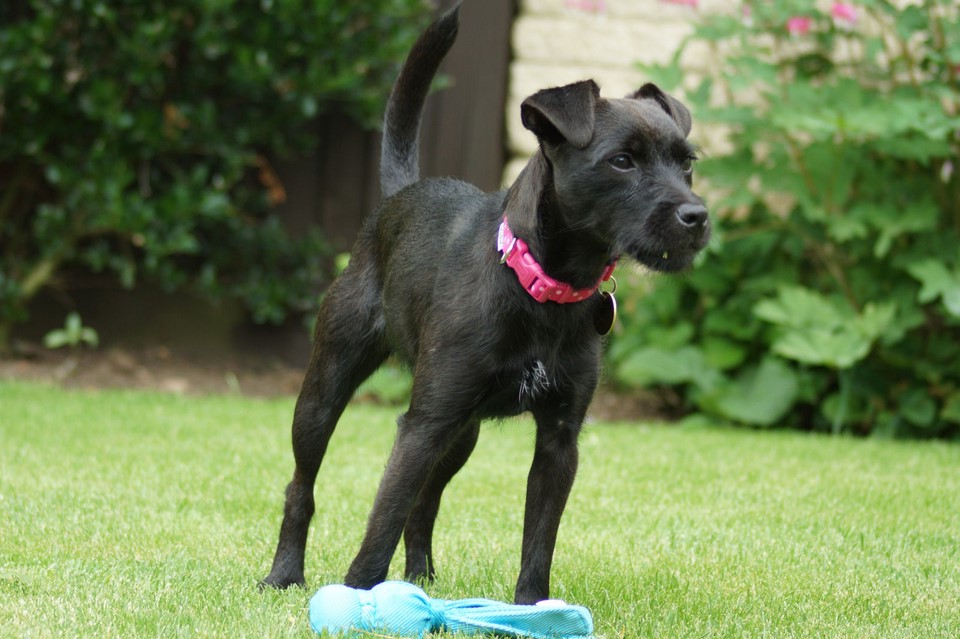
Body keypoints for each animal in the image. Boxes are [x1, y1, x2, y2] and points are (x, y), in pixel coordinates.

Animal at [260, 2, 704, 604]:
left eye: (687, 163)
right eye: (621, 161)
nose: (697, 216)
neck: (540, 287)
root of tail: (398, 198)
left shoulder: (559, 441)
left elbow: (538, 540)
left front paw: (532, 609)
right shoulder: (421, 426)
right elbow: (381, 521)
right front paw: (357, 599)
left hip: (462, 433)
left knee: (425, 503)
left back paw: (420, 577)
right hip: (326, 392)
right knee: (302, 485)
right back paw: (285, 574)